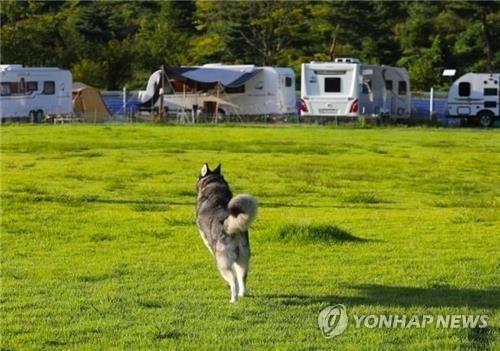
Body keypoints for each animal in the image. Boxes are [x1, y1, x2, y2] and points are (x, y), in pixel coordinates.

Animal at [195, 164, 258, 304]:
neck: (213, 183)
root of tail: (229, 226)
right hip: (243, 259)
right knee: (242, 278)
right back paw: (242, 294)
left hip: (222, 263)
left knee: (233, 280)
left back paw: (233, 299)